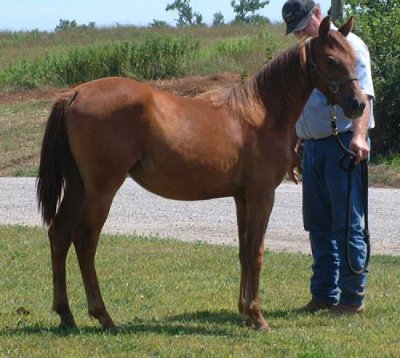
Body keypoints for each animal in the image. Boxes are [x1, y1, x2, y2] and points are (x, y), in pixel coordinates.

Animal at [37, 16, 366, 330]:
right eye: (331, 60)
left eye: (353, 57)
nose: (358, 104)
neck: (261, 112)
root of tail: (75, 93)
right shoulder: (261, 196)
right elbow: (256, 252)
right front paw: (258, 317)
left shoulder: (242, 198)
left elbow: (244, 251)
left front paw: (245, 312)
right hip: (102, 190)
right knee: (85, 240)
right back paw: (103, 316)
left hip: (77, 187)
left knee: (59, 235)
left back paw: (66, 315)